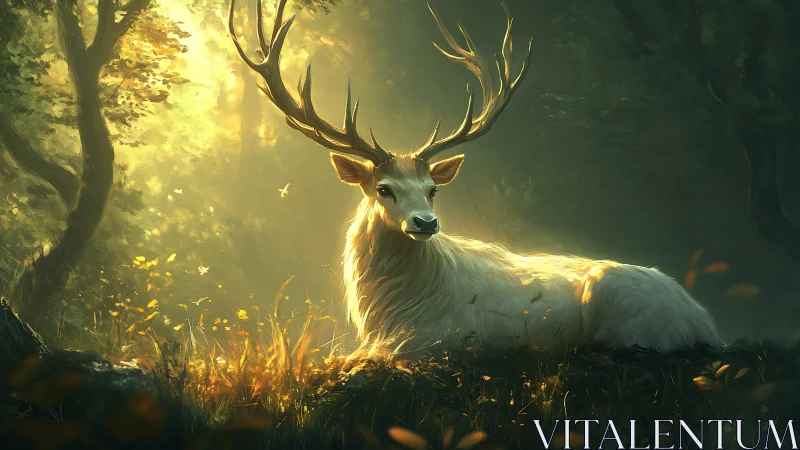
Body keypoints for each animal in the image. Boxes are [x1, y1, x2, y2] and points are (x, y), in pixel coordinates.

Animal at [229, 0, 725, 354]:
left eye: (432, 189)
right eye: (384, 189)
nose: (426, 223)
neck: (387, 311)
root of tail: (704, 322)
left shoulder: (432, 343)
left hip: (626, 314)